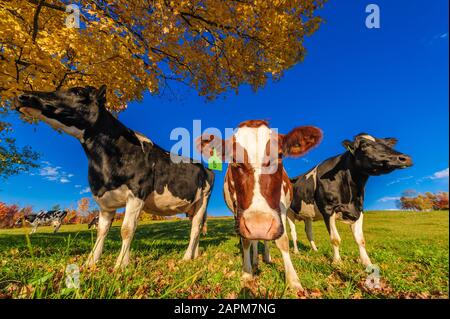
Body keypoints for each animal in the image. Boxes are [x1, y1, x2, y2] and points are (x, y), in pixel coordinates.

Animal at [14, 85, 215, 270]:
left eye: (78, 92)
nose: (23, 96)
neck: (103, 163)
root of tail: (205, 167)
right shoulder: (104, 200)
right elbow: (102, 230)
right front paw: (90, 262)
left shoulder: (137, 193)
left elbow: (127, 229)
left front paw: (120, 265)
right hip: (191, 207)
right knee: (196, 228)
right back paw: (195, 254)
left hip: (203, 200)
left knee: (195, 228)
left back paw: (186, 257)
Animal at [197, 120, 324, 292]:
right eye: (234, 159)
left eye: (279, 156)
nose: (259, 225)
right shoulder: (238, 210)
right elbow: (246, 240)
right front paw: (247, 273)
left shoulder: (280, 206)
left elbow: (282, 240)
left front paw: (293, 280)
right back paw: (256, 261)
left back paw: (266, 257)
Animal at [288, 133, 412, 268]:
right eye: (365, 145)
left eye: (388, 144)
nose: (405, 158)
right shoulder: (328, 209)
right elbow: (335, 239)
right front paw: (337, 261)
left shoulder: (359, 209)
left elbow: (361, 240)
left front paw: (367, 263)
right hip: (288, 213)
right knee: (293, 232)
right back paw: (296, 251)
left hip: (307, 215)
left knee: (309, 232)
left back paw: (315, 250)